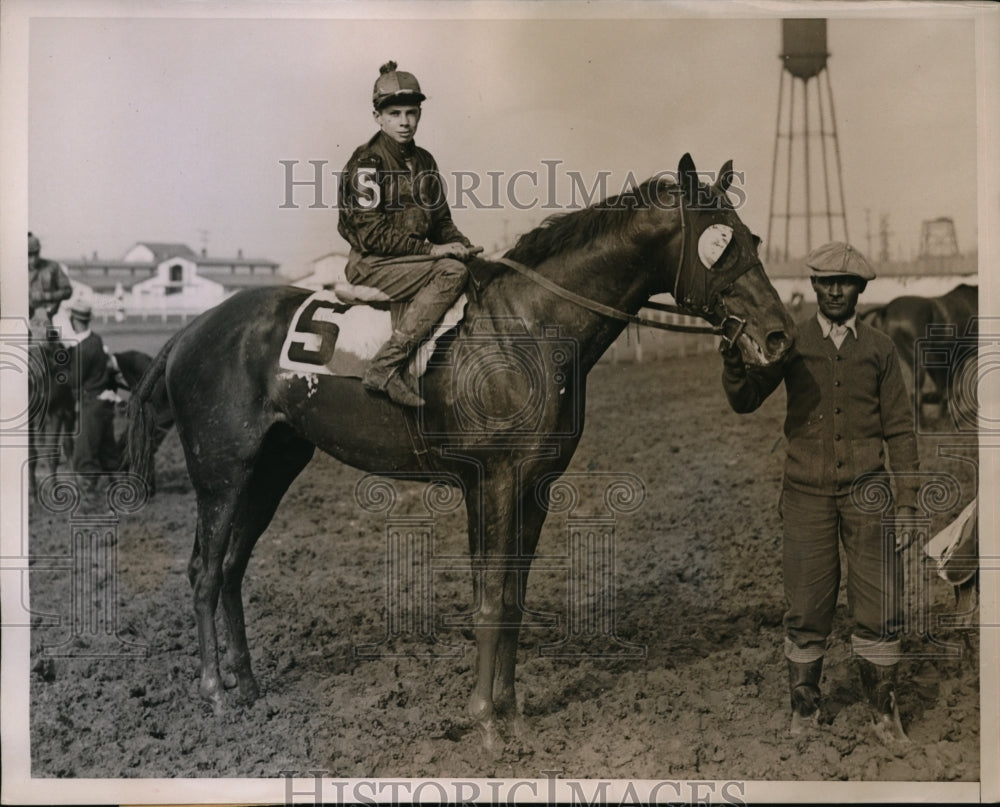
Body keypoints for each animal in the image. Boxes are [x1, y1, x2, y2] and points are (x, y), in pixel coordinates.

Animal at [127, 155, 796, 748]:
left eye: (753, 237)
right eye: (719, 243)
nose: (779, 336)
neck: (527, 329)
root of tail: (189, 331)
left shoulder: (532, 485)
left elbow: (512, 601)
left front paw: (513, 715)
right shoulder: (495, 480)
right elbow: (490, 599)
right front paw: (484, 722)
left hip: (271, 470)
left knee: (233, 567)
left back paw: (246, 686)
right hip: (221, 473)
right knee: (205, 571)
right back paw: (215, 692)